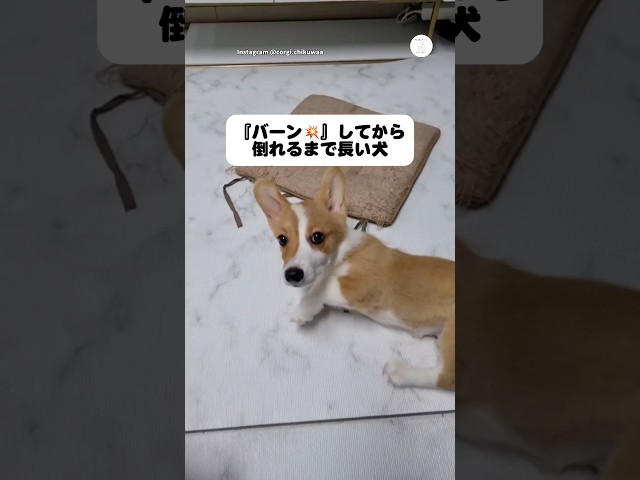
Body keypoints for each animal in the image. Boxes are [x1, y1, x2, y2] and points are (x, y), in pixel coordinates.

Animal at [253, 166, 455, 390]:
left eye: (317, 237)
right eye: (282, 240)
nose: (292, 275)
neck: (342, 251)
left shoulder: (366, 285)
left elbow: (325, 286)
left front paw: (305, 308)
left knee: (446, 377)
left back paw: (401, 372)